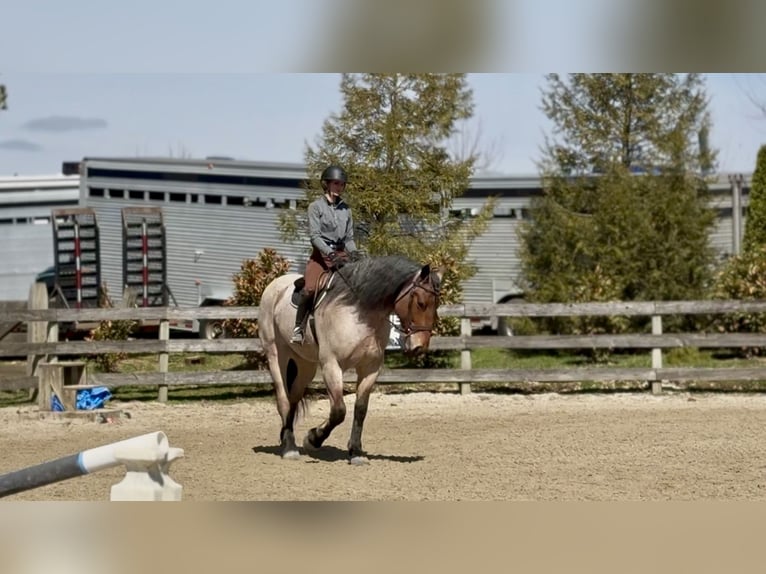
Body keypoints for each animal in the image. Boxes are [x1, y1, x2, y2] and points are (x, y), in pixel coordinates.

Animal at [258, 255, 443, 465]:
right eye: (420, 303)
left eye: (437, 305)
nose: (420, 346)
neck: (360, 312)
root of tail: (275, 285)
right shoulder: (331, 365)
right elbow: (339, 411)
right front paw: (313, 439)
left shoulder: (370, 368)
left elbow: (360, 409)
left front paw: (356, 452)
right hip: (276, 354)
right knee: (283, 399)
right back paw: (289, 449)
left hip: (305, 364)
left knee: (294, 398)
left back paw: (287, 439)